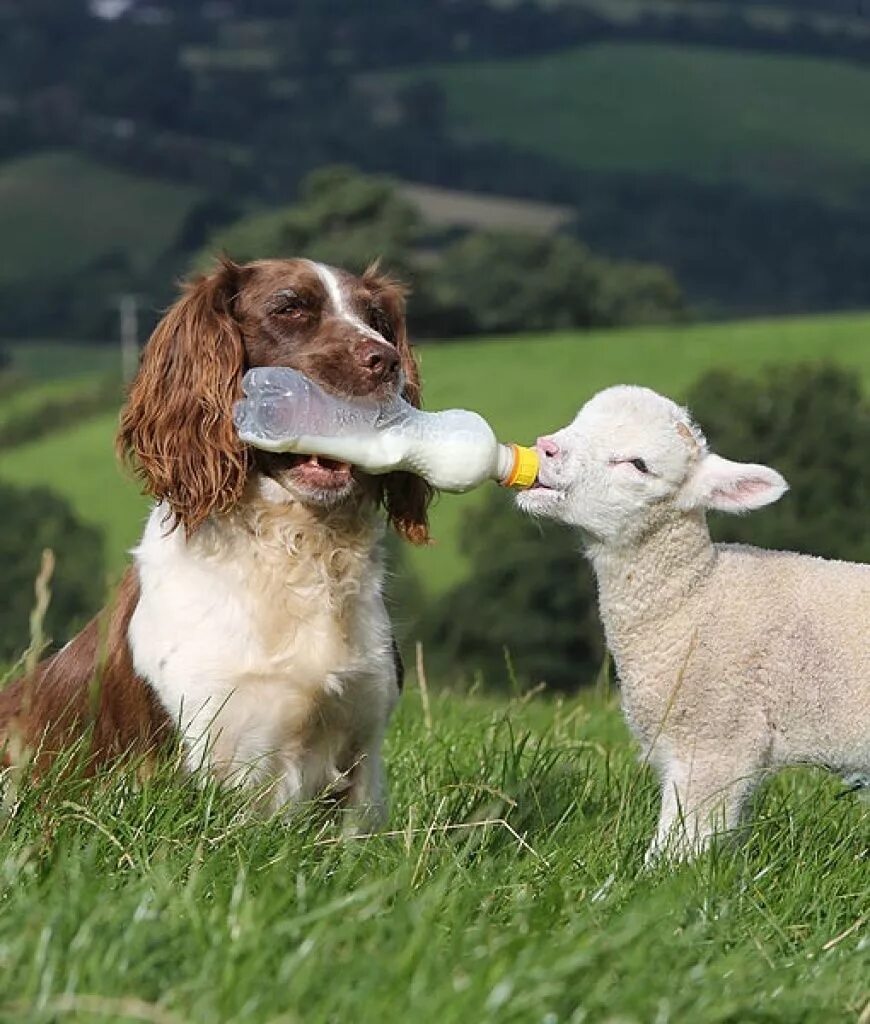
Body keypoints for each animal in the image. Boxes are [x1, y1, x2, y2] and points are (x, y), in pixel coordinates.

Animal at [0, 260, 429, 827]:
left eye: (377, 318)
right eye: (289, 307)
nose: (385, 360)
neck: (294, 550)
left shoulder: (363, 750)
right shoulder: (205, 751)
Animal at [517, 387, 863, 860]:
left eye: (638, 464)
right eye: (579, 420)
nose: (546, 447)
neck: (695, 598)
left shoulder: (715, 739)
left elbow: (679, 847)